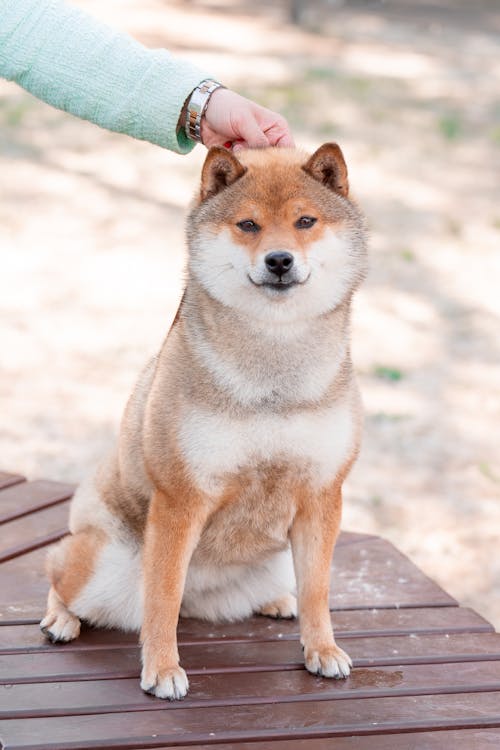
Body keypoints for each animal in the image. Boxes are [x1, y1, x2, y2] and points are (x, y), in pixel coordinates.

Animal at [40, 144, 368, 704]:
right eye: (248, 224)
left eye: (305, 221)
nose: (279, 260)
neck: (272, 372)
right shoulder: (182, 499)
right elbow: (162, 599)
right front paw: (163, 668)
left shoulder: (321, 495)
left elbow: (319, 590)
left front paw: (322, 649)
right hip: (104, 564)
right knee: (59, 572)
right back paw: (60, 619)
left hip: (275, 560)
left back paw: (278, 602)